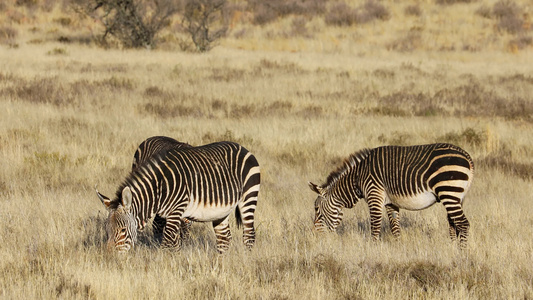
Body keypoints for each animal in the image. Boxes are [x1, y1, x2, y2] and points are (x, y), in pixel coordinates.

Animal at [97, 141, 262, 253]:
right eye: (107, 230)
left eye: (123, 230)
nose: (110, 257)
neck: (159, 187)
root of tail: (242, 147)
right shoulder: (169, 216)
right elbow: (175, 245)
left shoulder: (176, 211)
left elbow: (167, 244)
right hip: (221, 211)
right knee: (224, 238)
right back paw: (220, 264)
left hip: (249, 197)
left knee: (249, 235)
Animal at [308, 143, 474, 248]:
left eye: (316, 209)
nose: (314, 235)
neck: (357, 178)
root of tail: (468, 157)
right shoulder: (390, 202)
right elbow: (395, 227)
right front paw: (399, 248)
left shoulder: (374, 194)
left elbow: (375, 226)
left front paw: (372, 249)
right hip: (457, 196)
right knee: (453, 224)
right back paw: (452, 248)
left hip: (448, 190)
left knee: (463, 223)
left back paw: (462, 253)